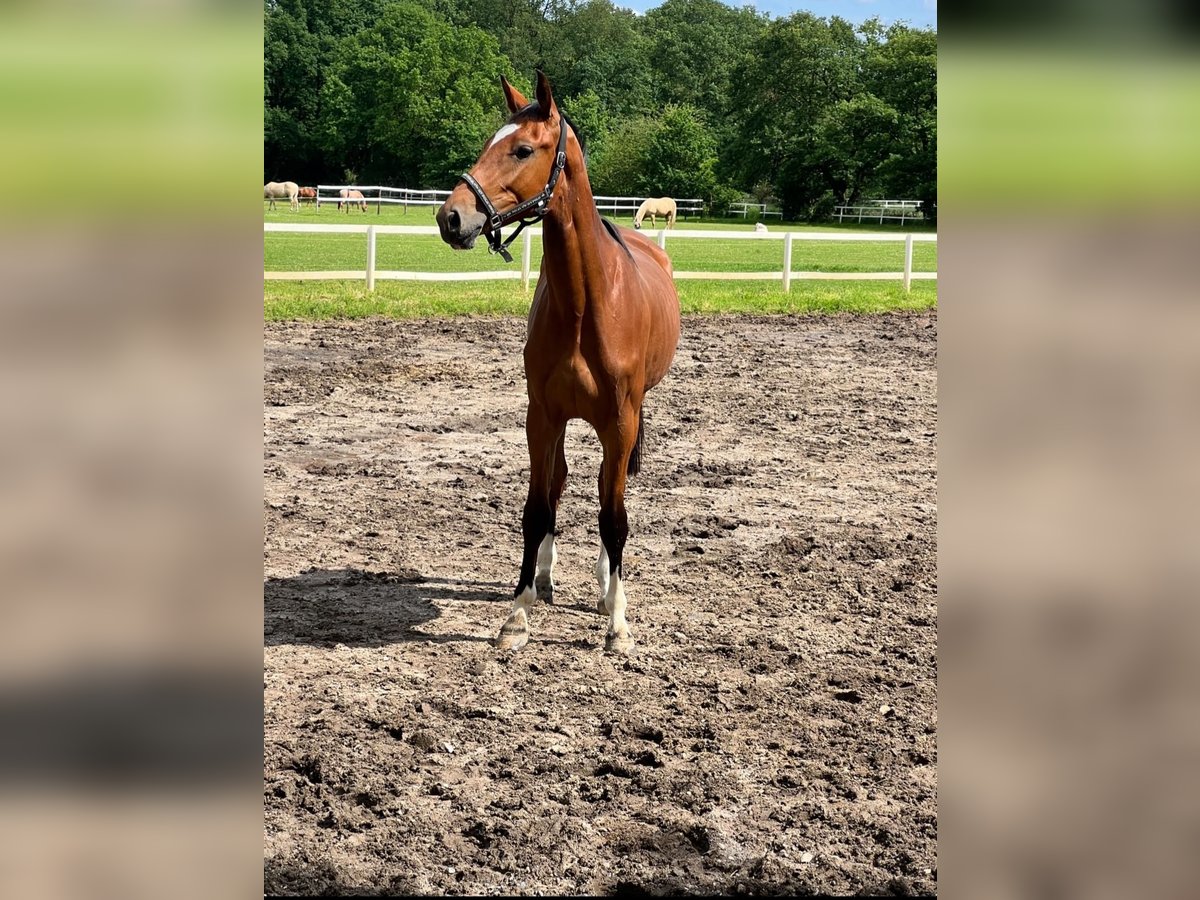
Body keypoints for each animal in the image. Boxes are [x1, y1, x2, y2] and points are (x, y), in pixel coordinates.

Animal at [434, 74, 681, 657]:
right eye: (488, 142)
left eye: (523, 149)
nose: (451, 217)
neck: (587, 304)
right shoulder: (542, 416)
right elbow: (538, 508)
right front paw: (517, 615)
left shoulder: (619, 422)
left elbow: (613, 517)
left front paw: (617, 622)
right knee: (562, 482)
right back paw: (546, 579)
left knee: (607, 491)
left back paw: (606, 586)